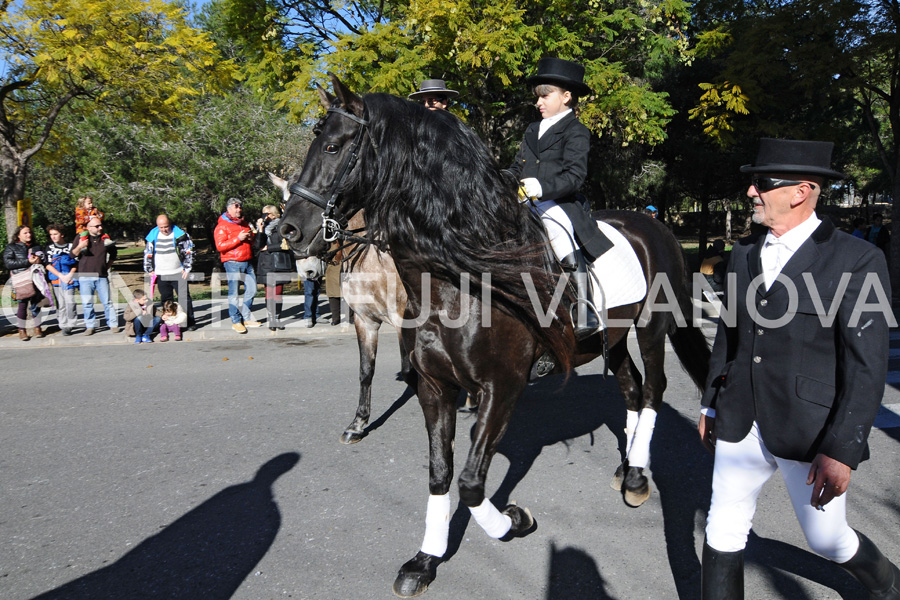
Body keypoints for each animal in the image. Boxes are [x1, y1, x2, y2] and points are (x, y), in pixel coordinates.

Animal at [282, 75, 712, 596]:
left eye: (333, 146)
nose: (288, 230)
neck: (457, 282)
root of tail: (654, 225)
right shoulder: (435, 387)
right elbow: (441, 473)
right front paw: (425, 559)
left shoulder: (501, 387)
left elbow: (470, 482)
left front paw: (513, 520)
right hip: (611, 338)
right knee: (630, 389)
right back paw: (630, 468)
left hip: (651, 329)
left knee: (652, 390)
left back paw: (635, 479)